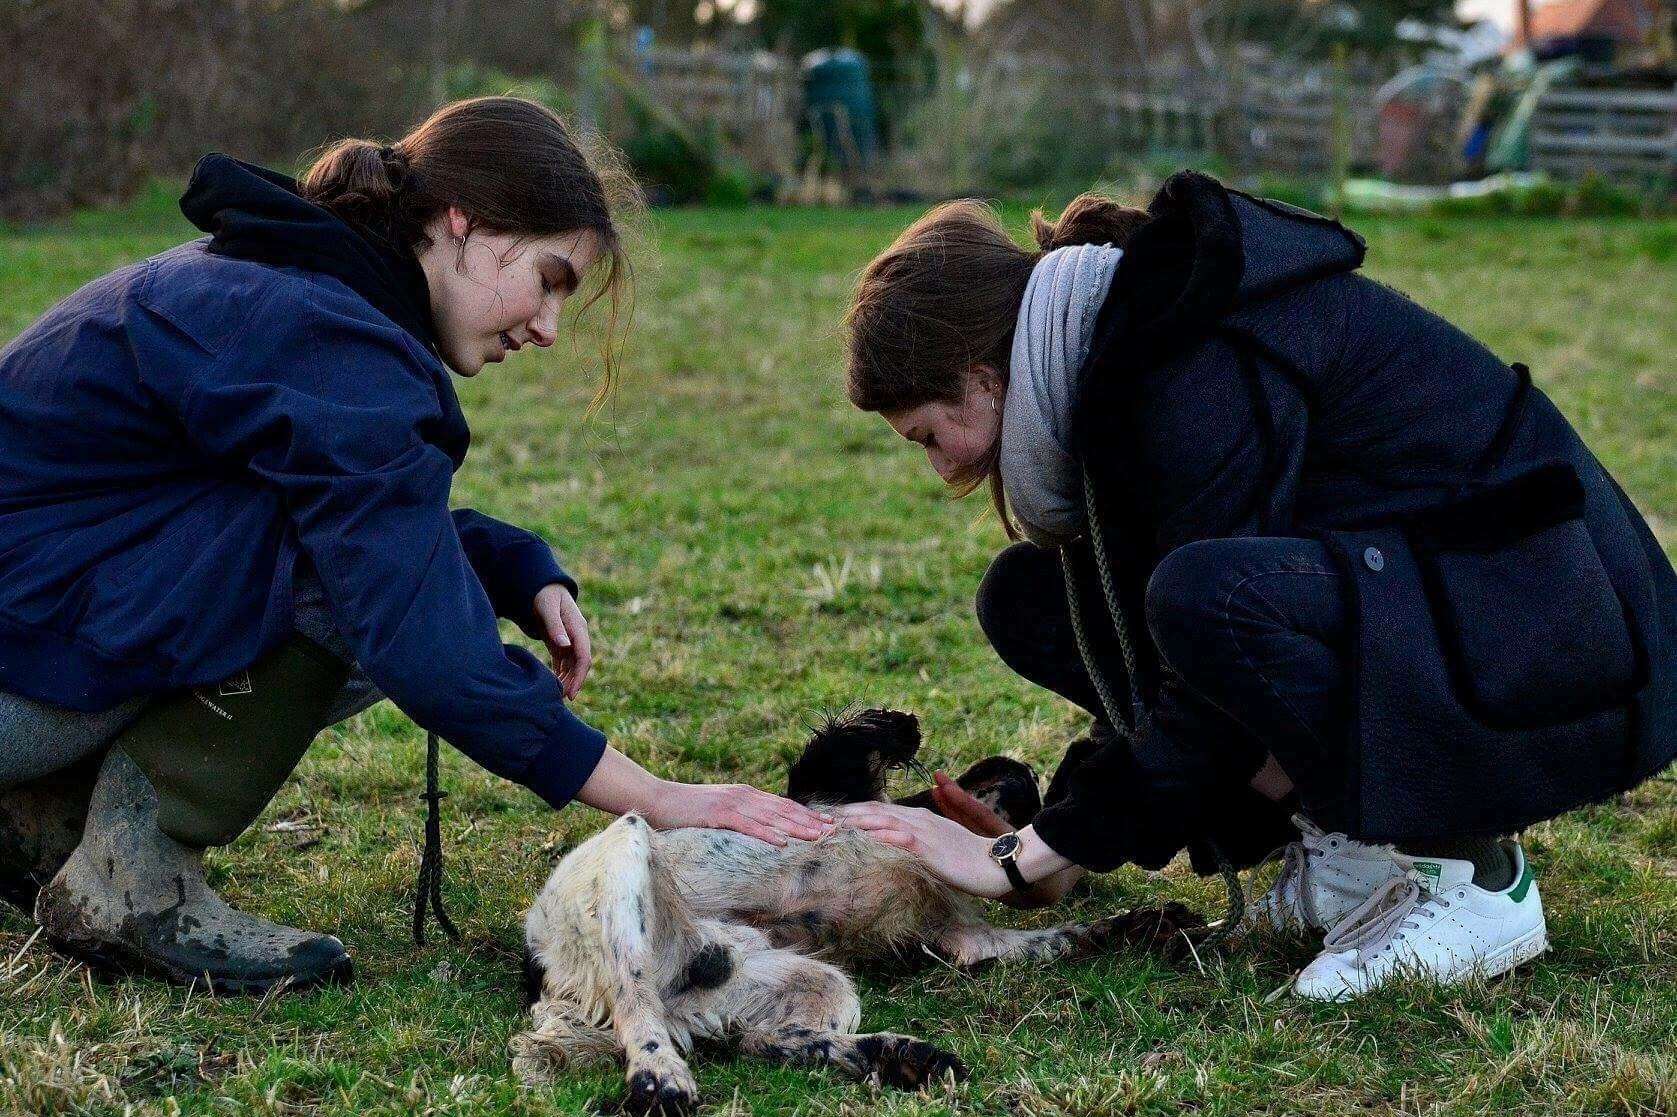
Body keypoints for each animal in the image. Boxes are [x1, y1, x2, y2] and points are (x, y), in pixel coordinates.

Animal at [513, 707, 1207, 1106]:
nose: (1040, 781)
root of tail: (553, 984)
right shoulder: (828, 787)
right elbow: (855, 736)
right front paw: (901, 727)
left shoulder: (969, 942)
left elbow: (1068, 934)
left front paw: (1152, 926)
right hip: (624, 857)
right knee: (634, 996)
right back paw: (659, 1077)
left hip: (799, 980)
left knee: (767, 1041)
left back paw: (899, 1057)